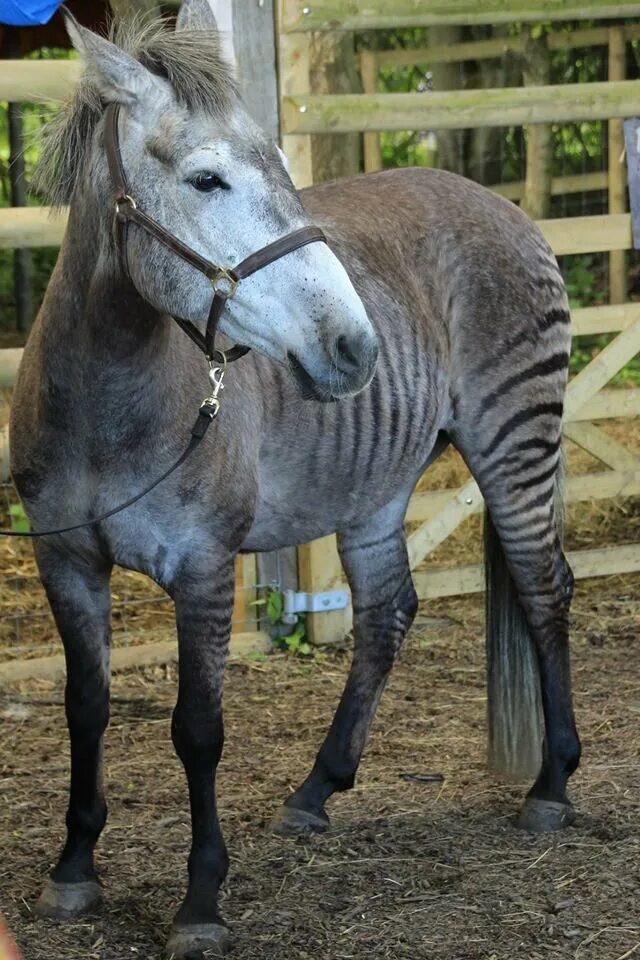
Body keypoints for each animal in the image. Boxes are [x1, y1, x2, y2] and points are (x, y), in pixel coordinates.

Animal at [11, 3, 580, 956]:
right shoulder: (67, 563)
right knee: (388, 612)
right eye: (206, 180)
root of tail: (502, 205)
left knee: (544, 589)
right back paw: (320, 788)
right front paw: (74, 866)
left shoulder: (205, 569)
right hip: (378, 484)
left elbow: (198, 730)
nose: (356, 347)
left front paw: (202, 900)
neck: (107, 406)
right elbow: (85, 707)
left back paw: (552, 785)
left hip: (515, 444)